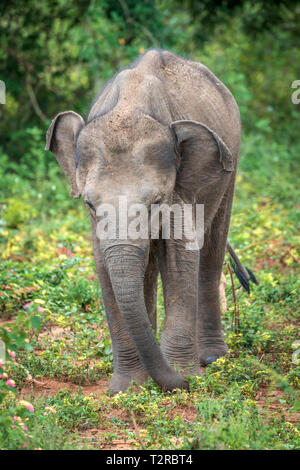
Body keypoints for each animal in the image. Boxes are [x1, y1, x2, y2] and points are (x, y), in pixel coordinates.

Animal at [45, 48, 241, 392]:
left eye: (157, 202)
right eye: (89, 204)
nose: (180, 382)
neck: (129, 105)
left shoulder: (179, 190)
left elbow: (180, 256)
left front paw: (185, 376)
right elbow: (104, 266)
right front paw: (126, 388)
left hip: (231, 163)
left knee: (211, 253)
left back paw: (212, 358)